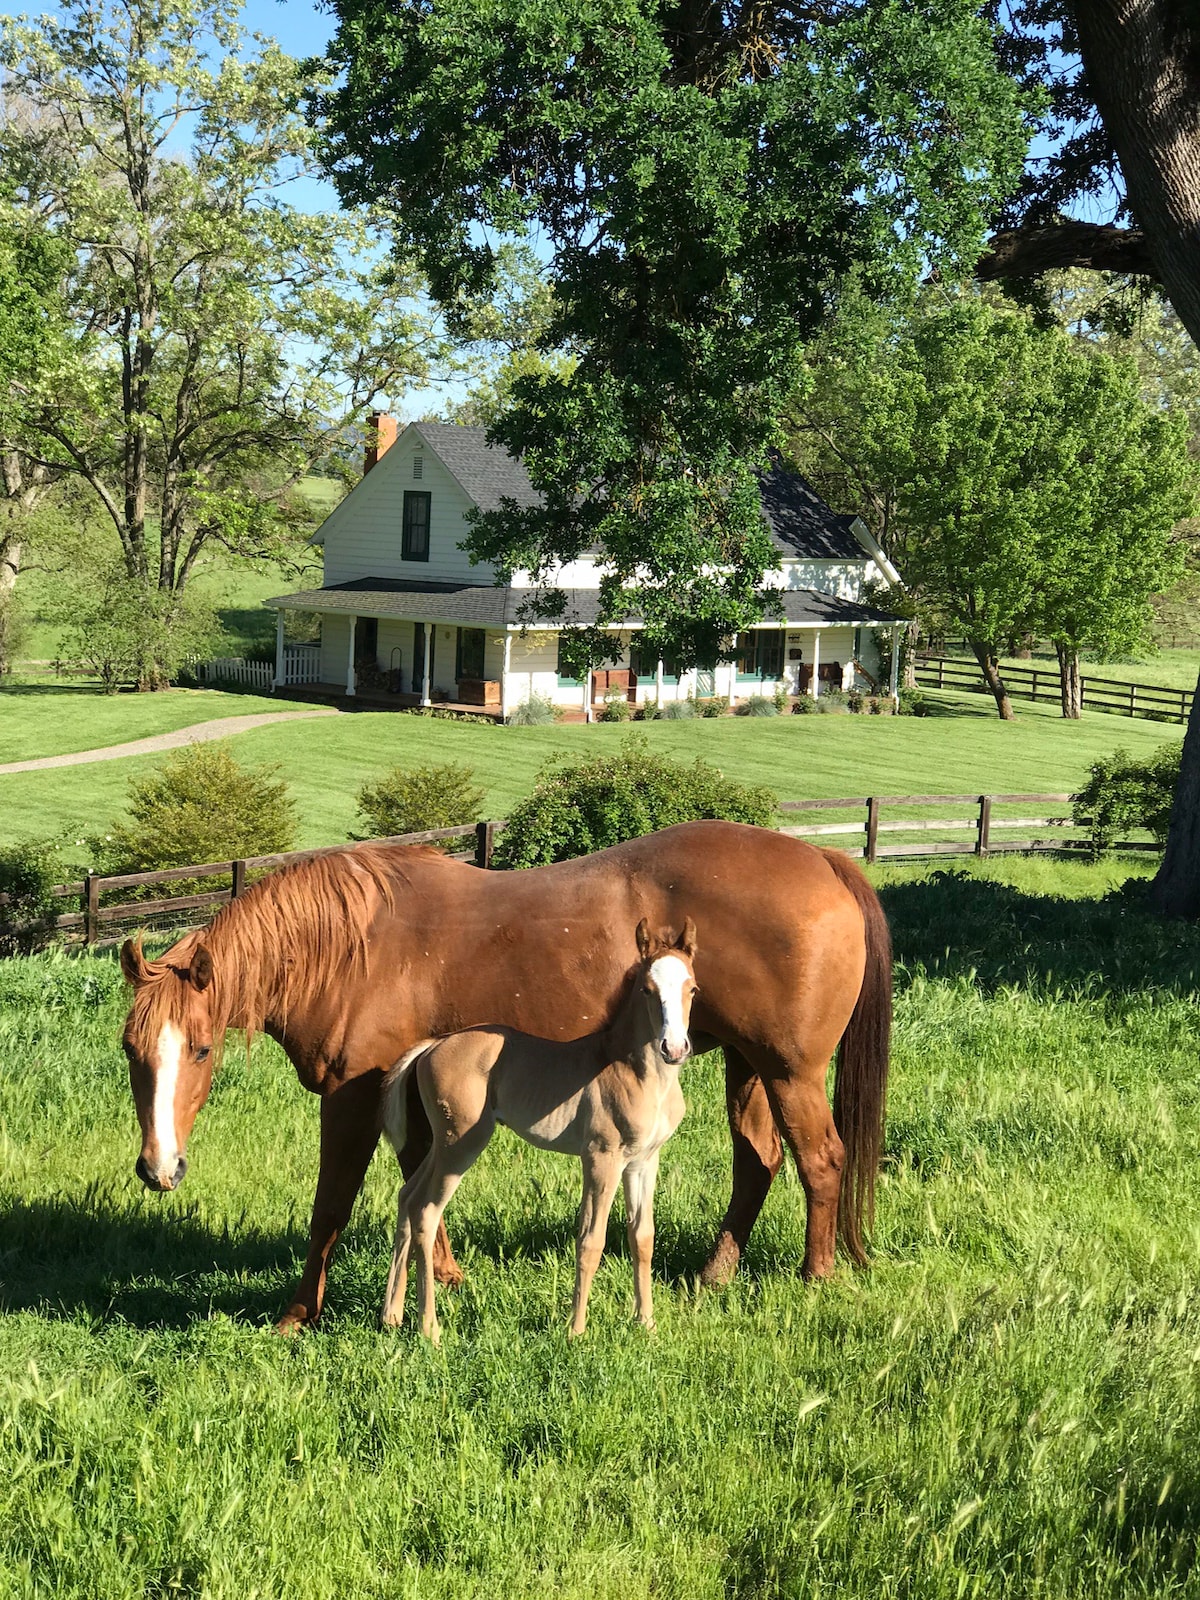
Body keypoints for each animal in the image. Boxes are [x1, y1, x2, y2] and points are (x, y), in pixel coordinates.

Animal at [380, 921, 700, 1344]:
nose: (674, 1048)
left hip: (444, 1142)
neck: (634, 1071)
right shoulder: (601, 1158)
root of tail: (433, 1045)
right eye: (647, 989)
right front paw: (576, 1331)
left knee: (406, 1196)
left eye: (692, 988)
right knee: (426, 1211)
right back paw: (430, 1327)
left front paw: (645, 1324)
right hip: (461, 1145)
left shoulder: (643, 1161)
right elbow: (591, 1240)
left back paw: (392, 1315)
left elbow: (642, 1237)